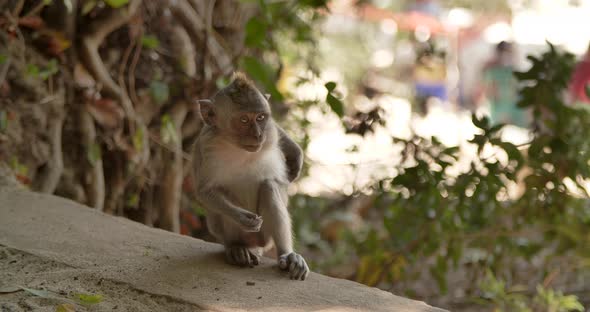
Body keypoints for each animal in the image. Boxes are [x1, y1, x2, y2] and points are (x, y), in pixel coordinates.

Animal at [197, 72, 312, 280]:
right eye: (243, 120)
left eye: (260, 117)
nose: (258, 135)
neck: (235, 146)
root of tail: (255, 244)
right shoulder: (206, 146)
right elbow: (205, 191)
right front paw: (244, 218)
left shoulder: (269, 130)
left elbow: (276, 130)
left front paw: (295, 154)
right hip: (231, 234)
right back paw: (237, 249)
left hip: (265, 236)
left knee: (269, 186)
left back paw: (287, 256)